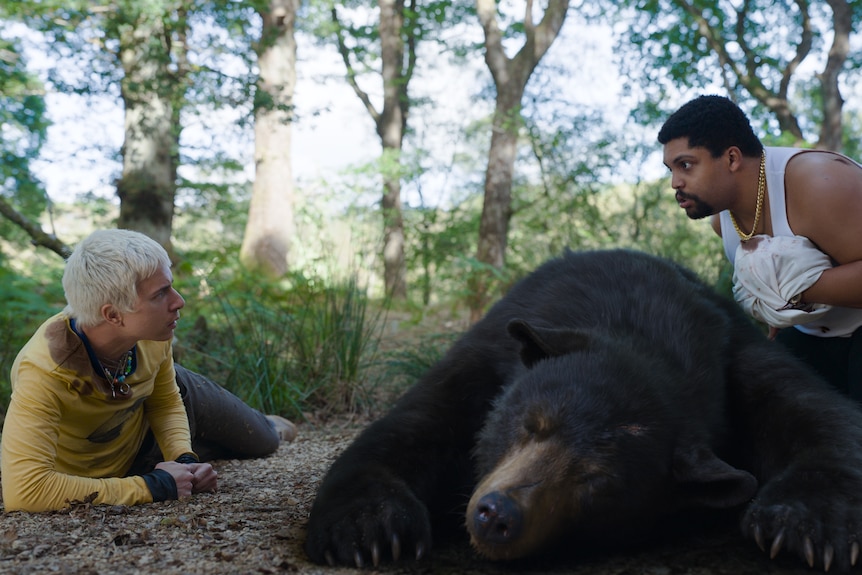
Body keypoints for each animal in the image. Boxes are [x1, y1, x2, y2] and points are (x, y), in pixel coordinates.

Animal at [302, 249, 862, 572]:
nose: (497, 515)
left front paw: (806, 525)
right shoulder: (491, 350)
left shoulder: (736, 353)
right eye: (530, 425)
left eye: (597, 482)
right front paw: (373, 528)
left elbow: (816, 414)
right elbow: (415, 425)